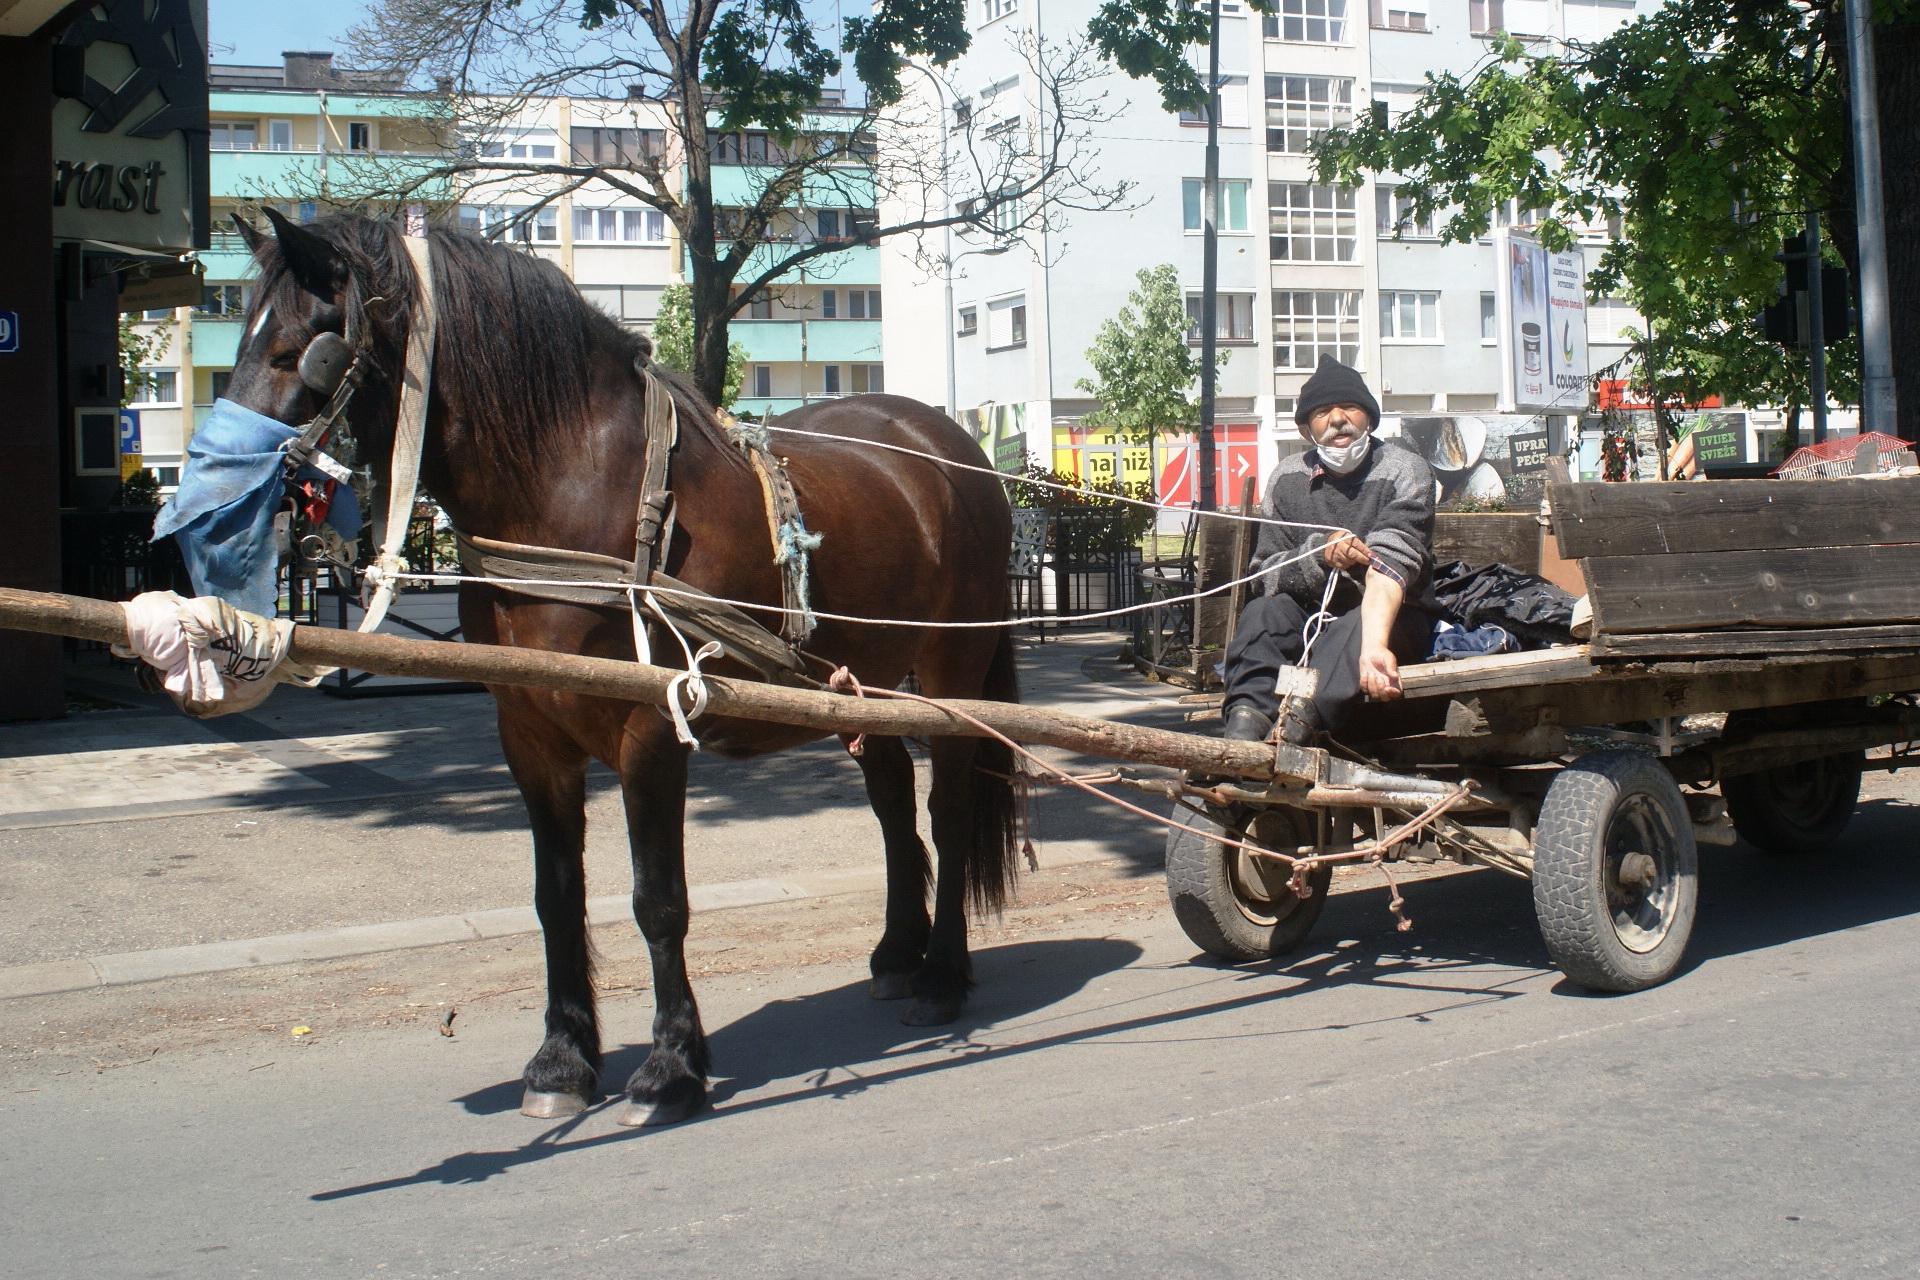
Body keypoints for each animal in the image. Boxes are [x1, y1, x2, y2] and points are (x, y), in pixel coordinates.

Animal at [219, 208, 1029, 1120]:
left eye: (303, 347)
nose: (224, 484)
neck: (573, 484)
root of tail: (951, 444)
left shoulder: (652, 728)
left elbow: (658, 900)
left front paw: (671, 1065)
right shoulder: (529, 735)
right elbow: (556, 898)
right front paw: (562, 1061)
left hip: (953, 668)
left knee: (948, 812)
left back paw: (943, 974)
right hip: (861, 684)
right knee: (894, 807)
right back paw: (897, 952)